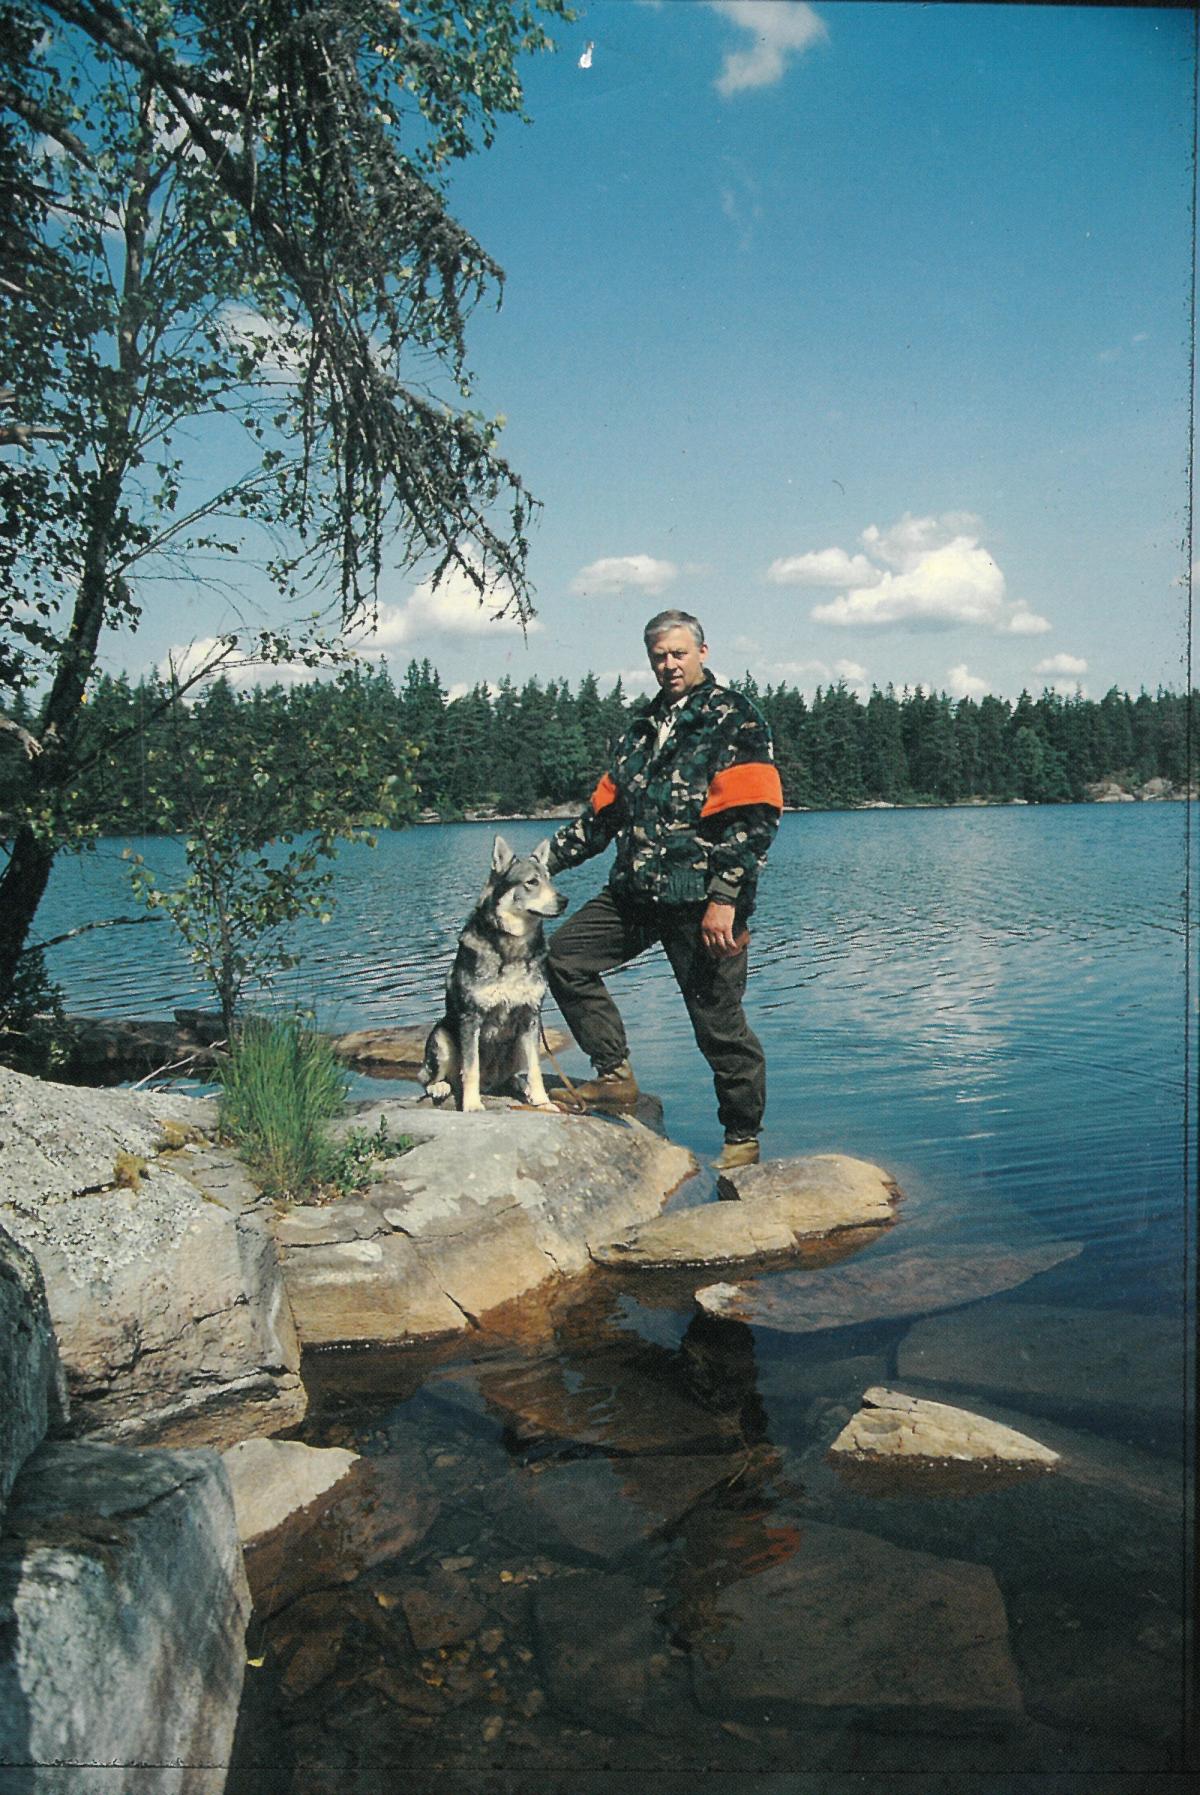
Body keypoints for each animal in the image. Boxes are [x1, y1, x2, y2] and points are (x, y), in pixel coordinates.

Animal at [419, 836, 570, 1105]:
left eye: (549, 879)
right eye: (532, 882)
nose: (564, 901)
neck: (513, 949)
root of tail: (491, 1083)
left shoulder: (531, 1016)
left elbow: (535, 1069)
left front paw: (542, 1101)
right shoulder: (471, 1017)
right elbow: (470, 1069)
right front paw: (471, 1105)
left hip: (518, 1043)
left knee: (511, 1076)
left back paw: (521, 1085)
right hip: (442, 1037)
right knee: (433, 1078)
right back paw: (440, 1087)